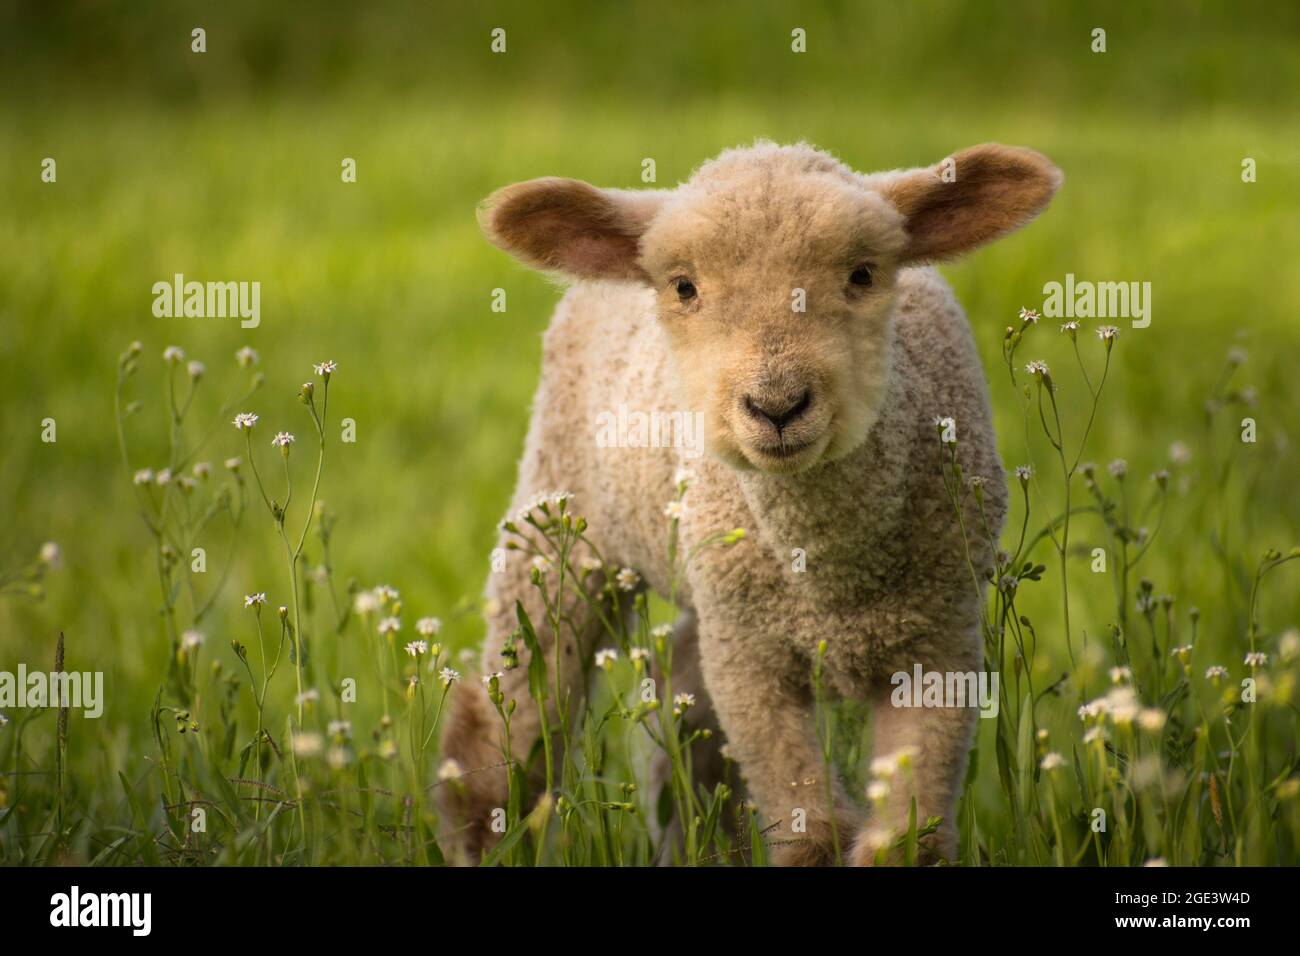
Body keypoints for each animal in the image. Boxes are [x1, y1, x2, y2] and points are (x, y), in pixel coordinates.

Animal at [440, 141, 1062, 865]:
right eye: (684, 287)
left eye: (863, 274)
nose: (777, 405)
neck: (828, 580)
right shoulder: (750, 661)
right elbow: (814, 833)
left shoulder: (939, 639)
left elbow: (912, 840)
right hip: (563, 515)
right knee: (512, 714)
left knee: (686, 709)